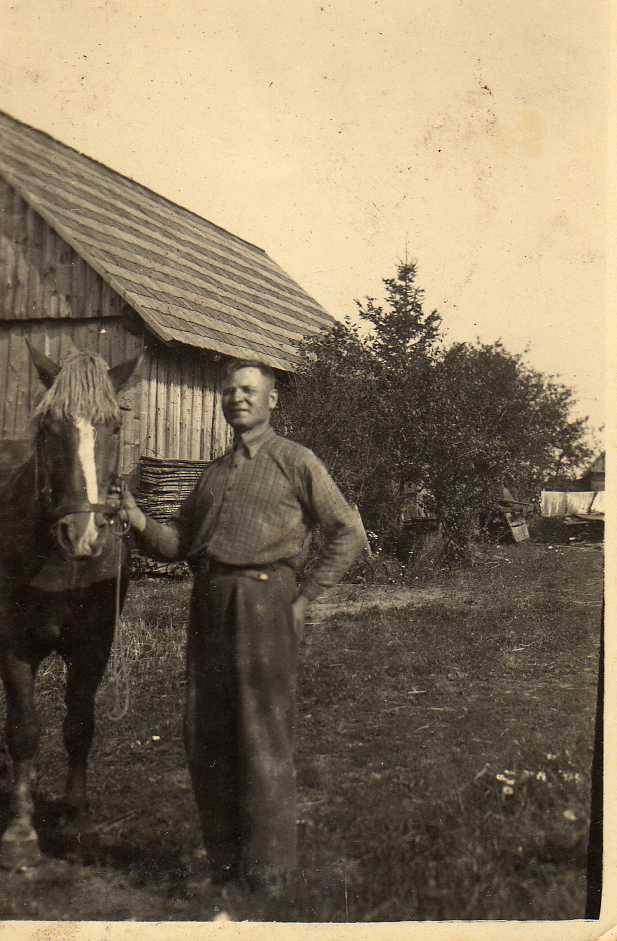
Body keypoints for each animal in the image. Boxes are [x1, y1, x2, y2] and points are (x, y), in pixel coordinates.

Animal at [0, 340, 141, 868]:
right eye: (48, 428)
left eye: (115, 426)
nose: (84, 534)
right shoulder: (13, 646)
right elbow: (23, 730)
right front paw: (20, 831)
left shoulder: (93, 646)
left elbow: (79, 724)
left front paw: (76, 818)